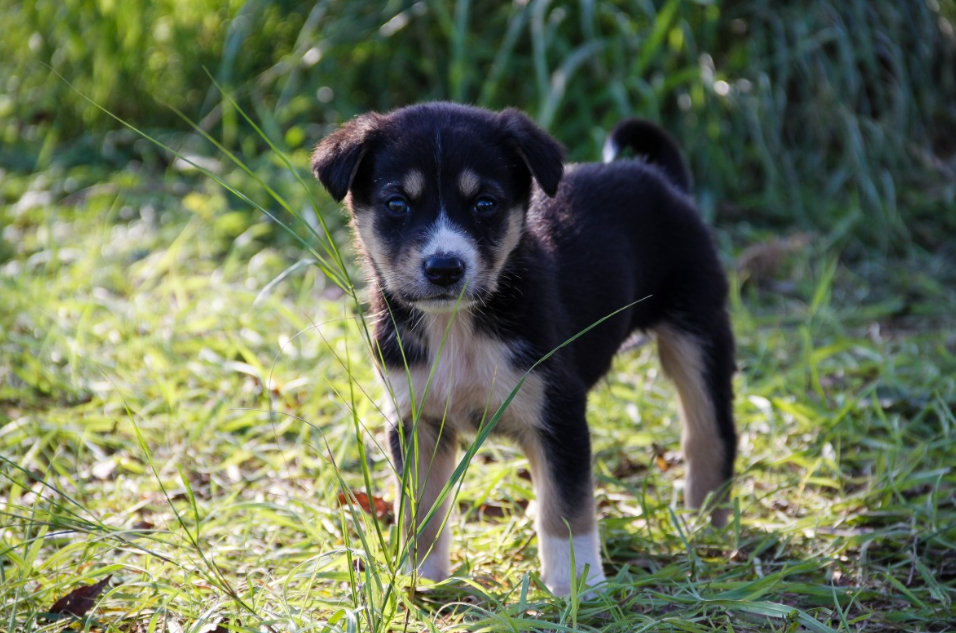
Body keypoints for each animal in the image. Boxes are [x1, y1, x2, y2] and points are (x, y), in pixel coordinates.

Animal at [310, 101, 736, 596]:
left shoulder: (559, 412)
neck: (460, 327)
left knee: (710, 432)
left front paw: (576, 584)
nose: (444, 268)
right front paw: (422, 577)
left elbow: (567, 510)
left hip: (697, 330)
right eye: (397, 204)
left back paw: (707, 524)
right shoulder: (417, 419)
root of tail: (662, 181)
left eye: (485, 203)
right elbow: (422, 510)